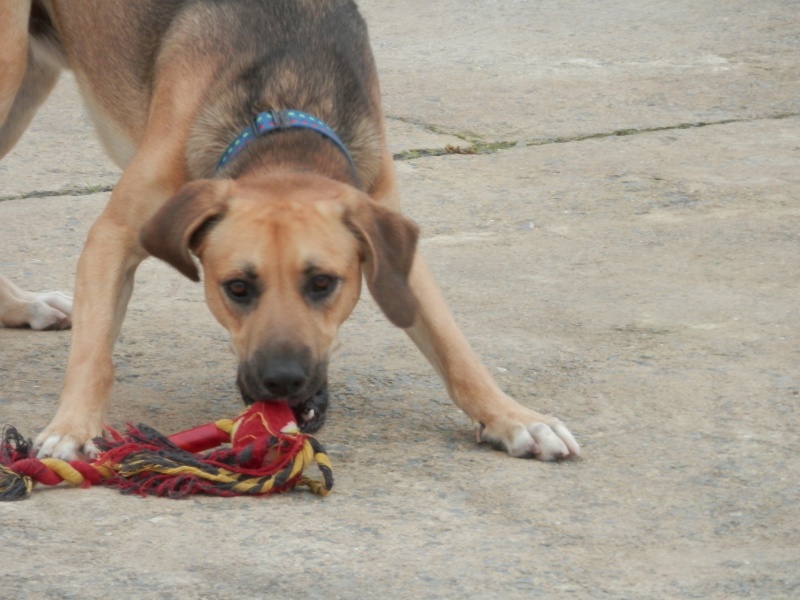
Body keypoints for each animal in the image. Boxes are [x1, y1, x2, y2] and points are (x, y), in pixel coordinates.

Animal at [0, 0, 580, 462]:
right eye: (236, 288)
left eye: (323, 283)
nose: (282, 382)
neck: (282, 111)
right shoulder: (115, 237)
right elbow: (94, 356)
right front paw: (74, 427)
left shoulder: (394, 249)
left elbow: (456, 349)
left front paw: (513, 417)